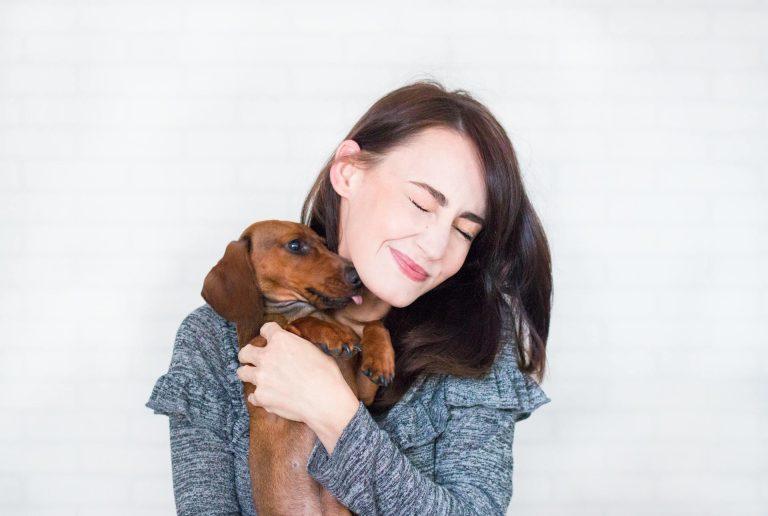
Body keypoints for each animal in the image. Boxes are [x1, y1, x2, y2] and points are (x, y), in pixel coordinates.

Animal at [201, 220, 392, 512]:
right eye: (295, 245)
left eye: (324, 243)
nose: (358, 277)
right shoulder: (260, 347)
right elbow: (299, 324)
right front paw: (334, 334)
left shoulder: (361, 394)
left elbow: (374, 324)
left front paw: (381, 360)